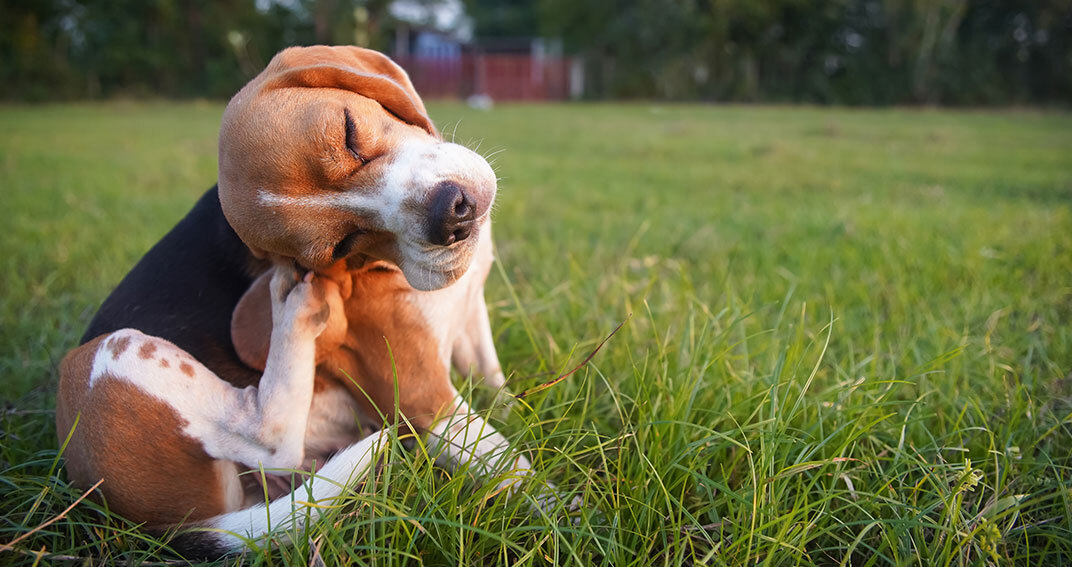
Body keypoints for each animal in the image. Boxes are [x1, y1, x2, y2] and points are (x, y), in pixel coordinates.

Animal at [54, 45, 548, 557]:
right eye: (342, 246)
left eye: (349, 133)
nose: (452, 216)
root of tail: (165, 528)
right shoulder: (426, 401)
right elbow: (519, 472)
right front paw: (566, 513)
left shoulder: (472, 320)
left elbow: (497, 387)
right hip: (107, 356)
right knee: (268, 439)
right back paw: (294, 308)